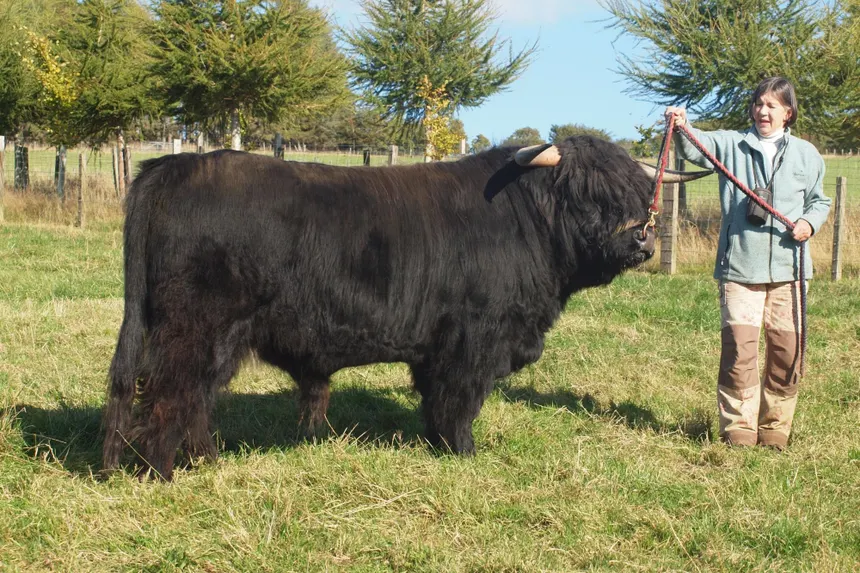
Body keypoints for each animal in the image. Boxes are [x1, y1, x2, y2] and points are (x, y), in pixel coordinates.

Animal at [102, 136, 710, 479]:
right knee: (171, 395)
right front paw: (463, 453)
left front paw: (438, 445)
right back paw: (163, 473)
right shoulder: (472, 339)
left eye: (638, 194)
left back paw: (204, 461)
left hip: (215, 339)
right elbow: (458, 402)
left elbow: (436, 402)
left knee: (196, 398)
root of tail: (174, 166)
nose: (642, 243)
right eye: (586, 193)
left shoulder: (439, 346)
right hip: (195, 328)